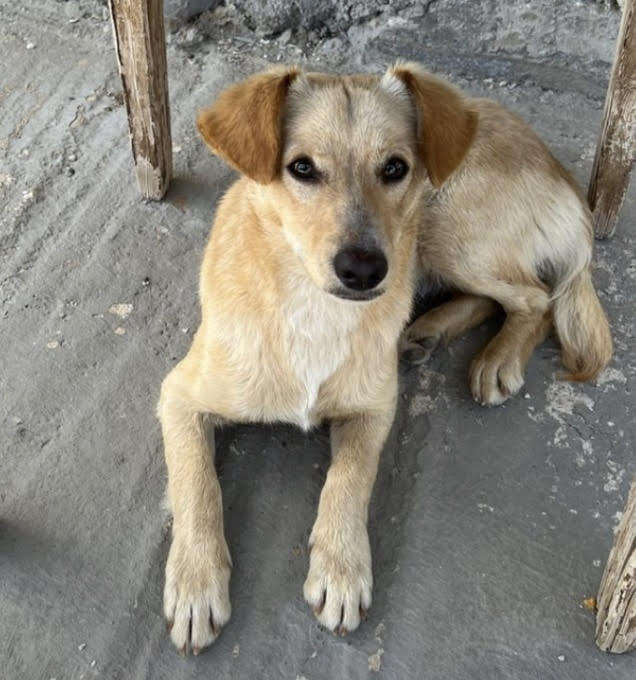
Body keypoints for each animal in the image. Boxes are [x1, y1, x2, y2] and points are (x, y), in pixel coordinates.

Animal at [158, 62, 612, 652]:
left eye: (395, 167)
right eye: (301, 168)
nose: (363, 269)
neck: (313, 310)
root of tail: (565, 180)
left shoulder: (373, 409)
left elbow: (350, 479)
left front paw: (341, 569)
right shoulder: (178, 397)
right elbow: (197, 487)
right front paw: (195, 583)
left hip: (445, 225)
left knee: (534, 297)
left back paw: (496, 358)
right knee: (499, 296)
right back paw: (428, 331)